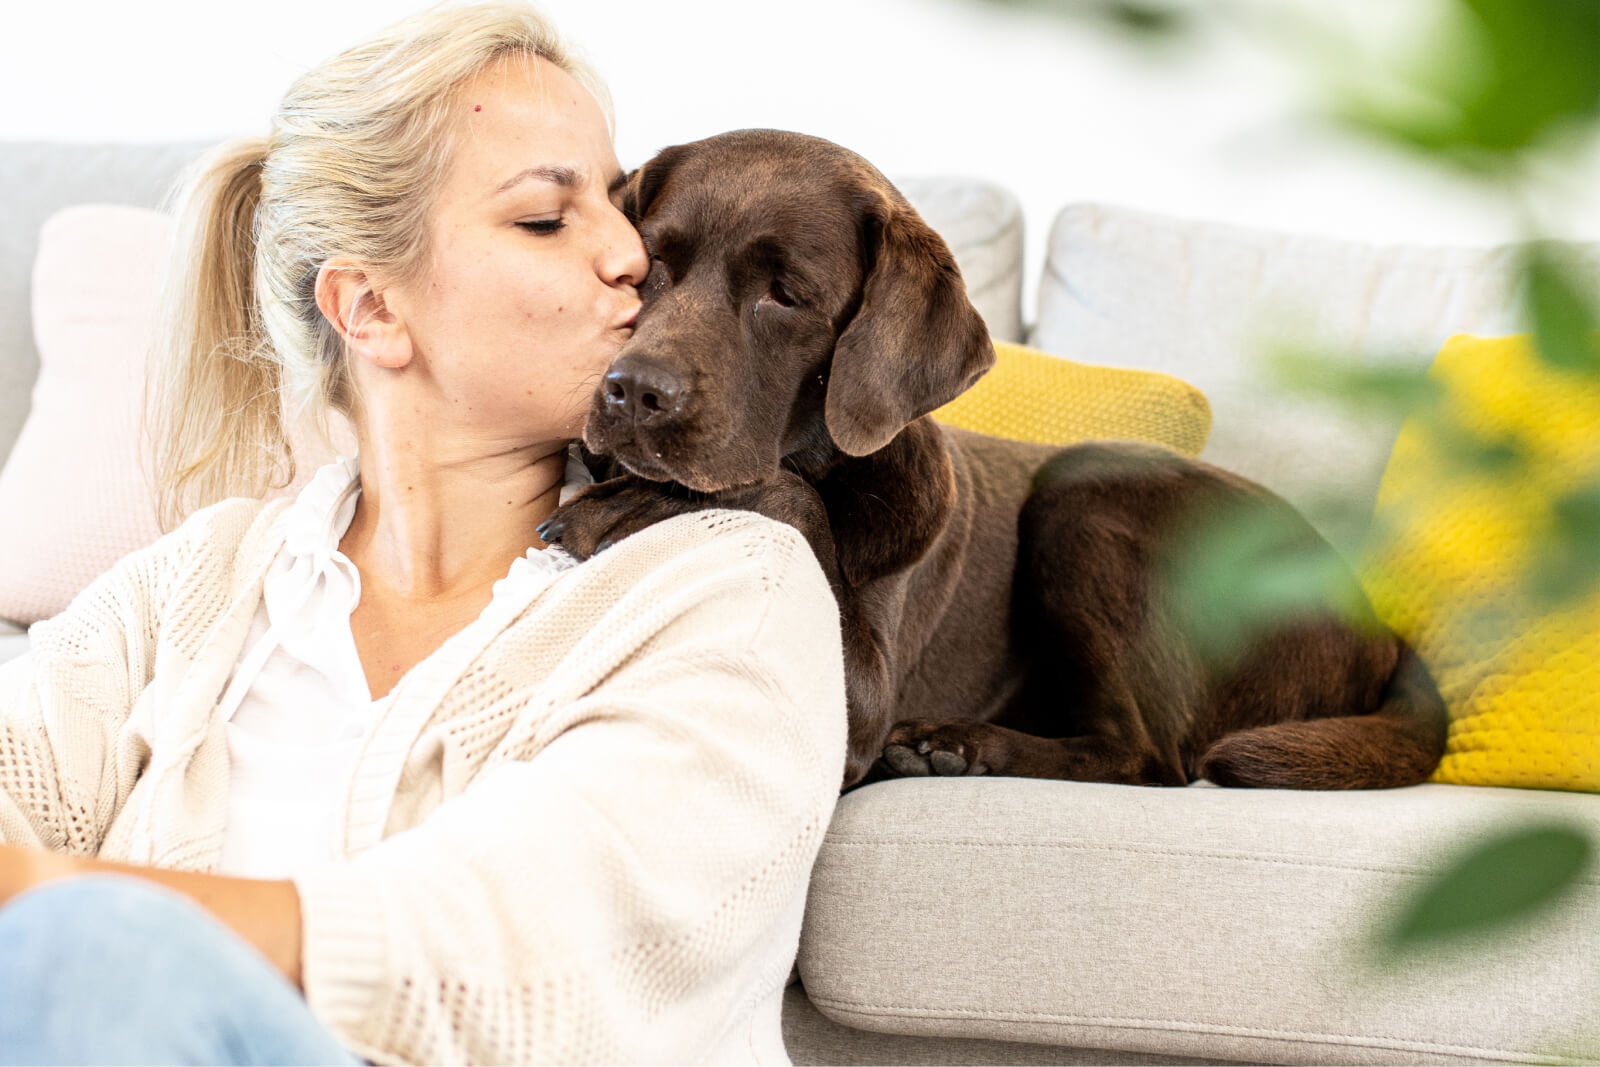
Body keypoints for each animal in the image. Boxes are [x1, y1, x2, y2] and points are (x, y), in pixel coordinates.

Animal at [540, 127, 1452, 793]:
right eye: (650, 264)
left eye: (787, 295)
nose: (633, 392)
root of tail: (1379, 622)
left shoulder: (858, 708)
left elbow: (788, 493)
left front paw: (624, 505)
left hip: (1087, 490)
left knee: (1150, 755)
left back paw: (959, 745)